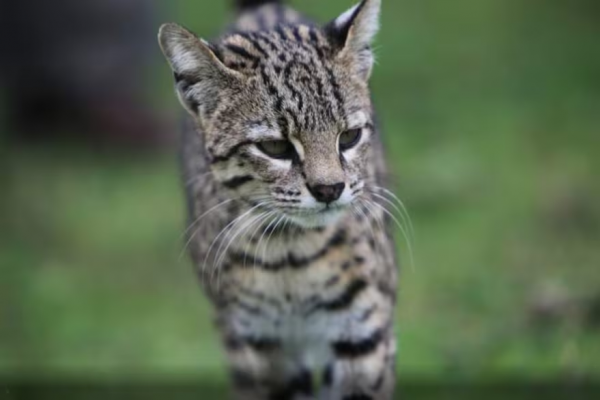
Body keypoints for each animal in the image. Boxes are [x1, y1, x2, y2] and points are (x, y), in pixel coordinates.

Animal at [157, 0, 400, 400]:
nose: (330, 189)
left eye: (349, 136)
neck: (291, 251)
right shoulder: (255, 343)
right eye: (275, 147)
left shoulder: (362, 329)